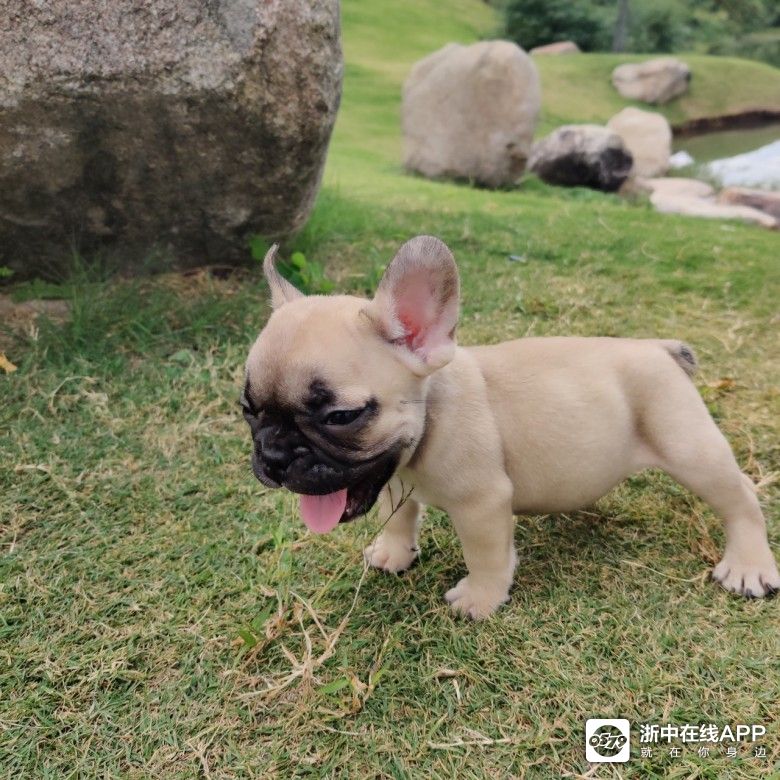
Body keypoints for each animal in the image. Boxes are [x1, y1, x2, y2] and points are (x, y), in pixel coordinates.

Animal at [244, 235, 780, 620]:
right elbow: (398, 516)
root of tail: (659, 348)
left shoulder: (483, 504)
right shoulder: (390, 475)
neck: (430, 418)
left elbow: (484, 554)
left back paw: (750, 565)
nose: (274, 455)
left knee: (739, 497)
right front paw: (394, 553)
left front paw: (481, 599)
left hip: (689, 447)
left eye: (341, 416)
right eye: (248, 409)